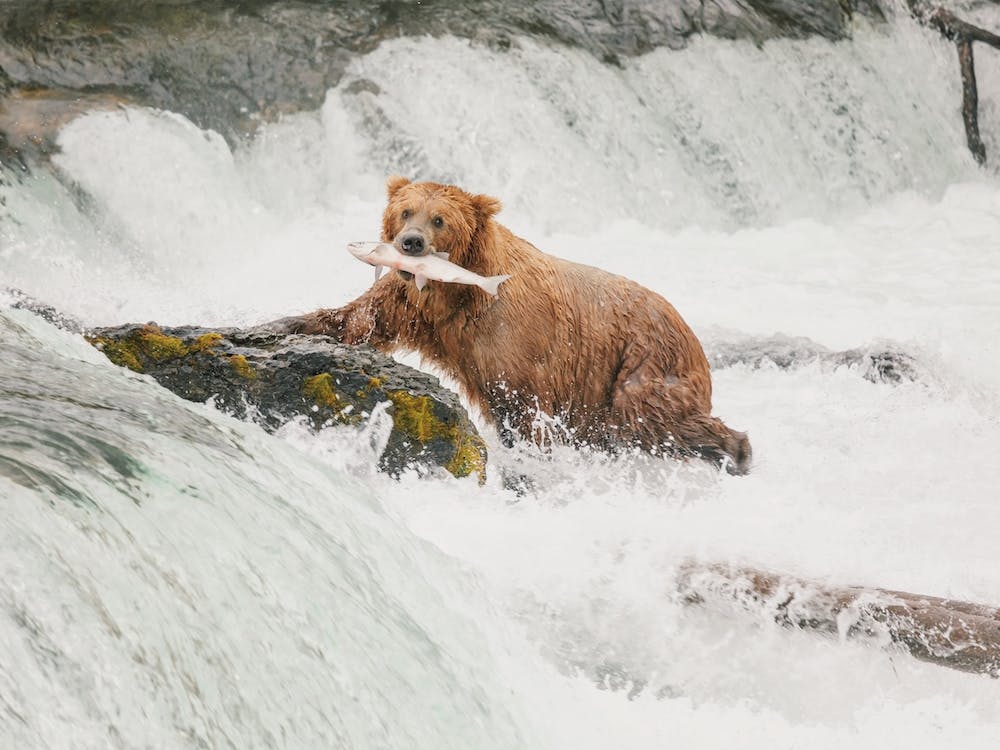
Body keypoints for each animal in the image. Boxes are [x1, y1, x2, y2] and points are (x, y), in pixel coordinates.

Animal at [273, 177, 751, 474]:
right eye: (406, 210)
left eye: (439, 218)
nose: (411, 243)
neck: (457, 290)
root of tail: (689, 329)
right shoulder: (413, 304)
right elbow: (359, 318)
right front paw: (286, 322)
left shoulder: (514, 336)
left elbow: (523, 406)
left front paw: (528, 458)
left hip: (640, 360)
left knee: (648, 416)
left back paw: (737, 451)